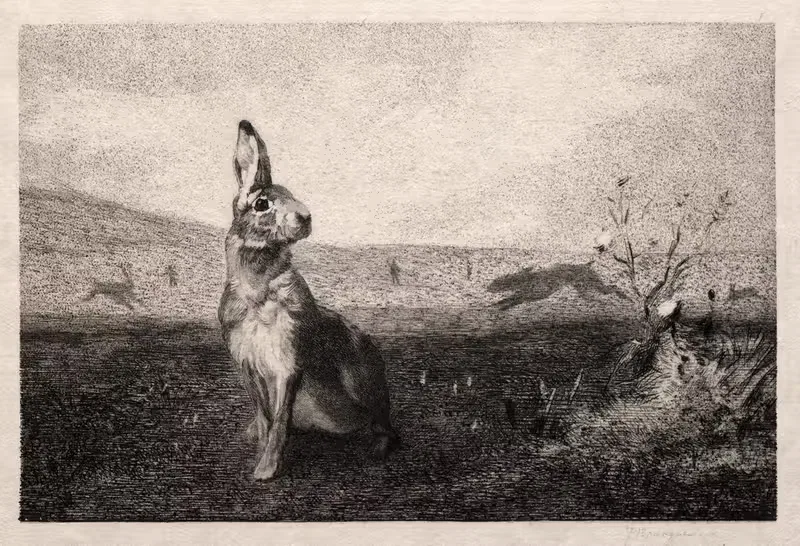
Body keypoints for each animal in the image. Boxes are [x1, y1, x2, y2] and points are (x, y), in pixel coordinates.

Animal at [218, 120, 400, 481]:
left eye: (292, 195)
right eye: (262, 205)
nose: (306, 217)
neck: (260, 290)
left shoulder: (288, 365)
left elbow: (279, 422)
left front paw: (266, 470)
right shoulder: (249, 367)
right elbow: (266, 417)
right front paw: (259, 453)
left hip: (363, 383)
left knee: (384, 425)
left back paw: (377, 450)